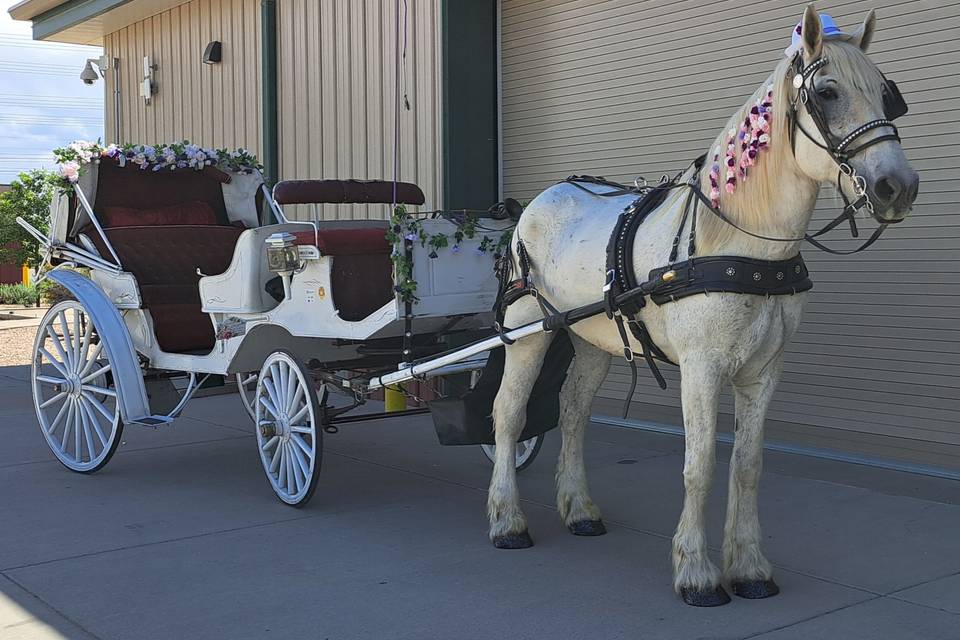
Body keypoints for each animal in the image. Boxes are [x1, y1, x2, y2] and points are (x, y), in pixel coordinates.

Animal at [488, 7, 924, 608]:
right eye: (828, 92)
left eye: (887, 94)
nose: (896, 187)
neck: (741, 245)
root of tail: (538, 201)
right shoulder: (702, 368)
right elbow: (700, 467)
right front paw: (696, 572)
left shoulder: (763, 371)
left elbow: (748, 465)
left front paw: (750, 567)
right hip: (528, 331)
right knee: (508, 414)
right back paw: (507, 521)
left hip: (594, 338)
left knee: (573, 413)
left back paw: (579, 510)